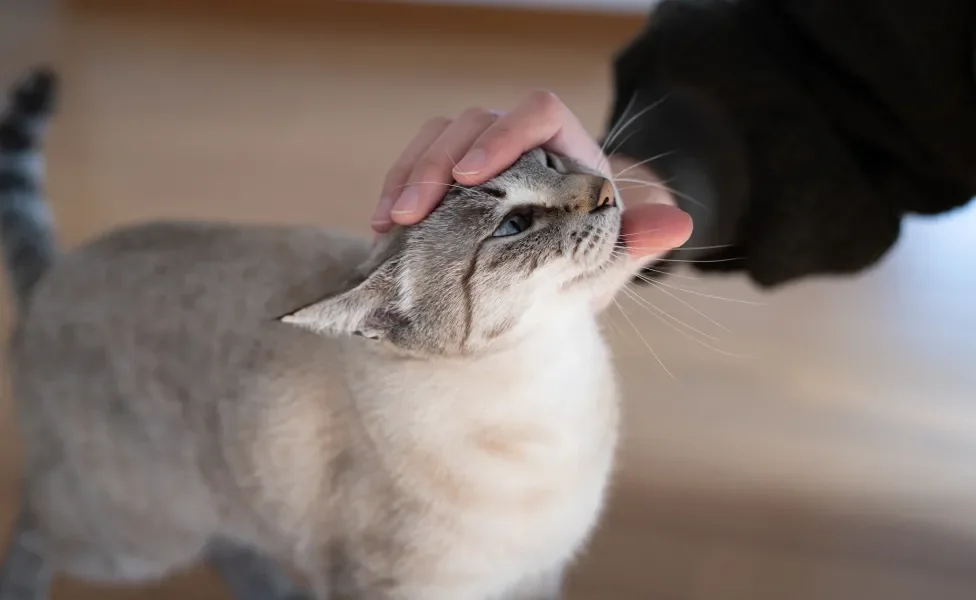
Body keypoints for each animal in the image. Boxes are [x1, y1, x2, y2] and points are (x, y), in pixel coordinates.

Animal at [1, 68, 656, 596]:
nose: (605, 190)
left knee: (227, 541)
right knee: (35, 527)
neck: (550, 383)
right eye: (514, 225)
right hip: (137, 541)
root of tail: (54, 272)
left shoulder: (536, 578)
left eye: (550, 162)